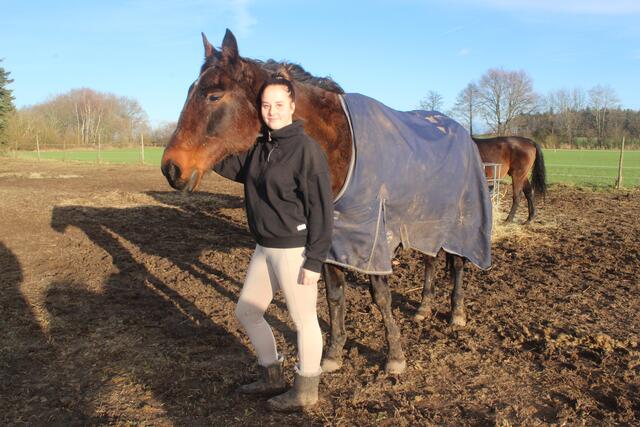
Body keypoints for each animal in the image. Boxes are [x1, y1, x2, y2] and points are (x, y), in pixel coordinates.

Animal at [161, 29, 484, 375]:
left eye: (214, 95)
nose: (171, 168)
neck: (341, 147)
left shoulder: (373, 241)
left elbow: (381, 296)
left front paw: (395, 357)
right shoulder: (331, 243)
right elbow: (334, 296)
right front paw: (333, 353)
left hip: (460, 221)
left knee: (458, 262)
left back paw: (457, 312)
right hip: (426, 221)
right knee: (431, 259)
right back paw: (424, 307)